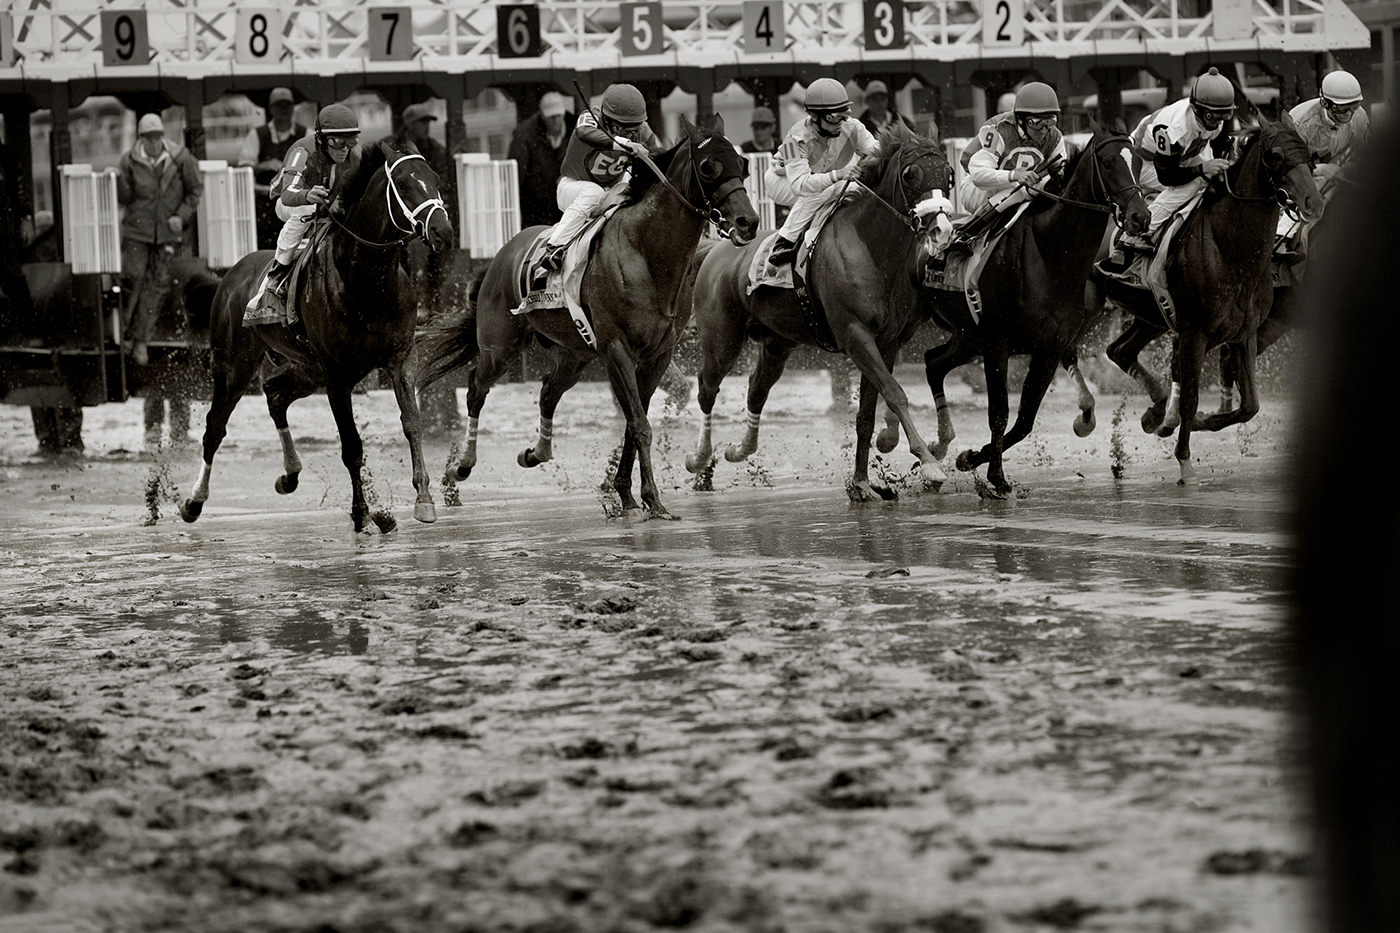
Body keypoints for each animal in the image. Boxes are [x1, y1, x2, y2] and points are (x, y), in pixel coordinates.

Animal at [180, 137, 453, 529]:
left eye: (435, 179)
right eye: (403, 184)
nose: (443, 232)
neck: (366, 282)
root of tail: (228, 278)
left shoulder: (399, 358)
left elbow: (412, 423)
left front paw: (424, 500)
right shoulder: (338, 376)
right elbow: (352, 446)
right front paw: (362, 513)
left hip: (307, 370)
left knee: (275, 394)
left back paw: (290, 474)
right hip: (233, 365)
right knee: (215, 426)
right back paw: (194, 501)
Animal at [417, 115, 756, 515]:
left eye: (742, 163)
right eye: (708, 167)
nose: (748, 222)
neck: (647, 252)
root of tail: (500, 255)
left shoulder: (658, 354)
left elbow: (633, 422)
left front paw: (625, 492)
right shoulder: (617, 350)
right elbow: (640, 425)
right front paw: (653, 499)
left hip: (574, 354)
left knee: (548, 391)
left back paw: (536, 453)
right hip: (499, 346)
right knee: (475, 388)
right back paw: (461, 466)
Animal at [677, 125, 952, 501]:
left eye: (949, 173)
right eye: (912, 174)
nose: (942, 230)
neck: (871, 247)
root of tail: (716, 248)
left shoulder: (886, 341)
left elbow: (868, 412)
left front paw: (863, 480)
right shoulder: (855, 336)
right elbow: (895, 393)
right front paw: (929, 462)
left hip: (777, 343)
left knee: (756, 389)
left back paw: (739, 450)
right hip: (722, 342)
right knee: (707, 388)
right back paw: (699, 460)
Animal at [918, 119, 1148, 498]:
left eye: (1140, 161)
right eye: (1109, 163)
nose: (1140, 216)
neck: (1049, 254)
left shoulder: (1048, 348)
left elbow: (1025, 420)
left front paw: (971, 458)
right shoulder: (998, 344)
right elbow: (999, 412)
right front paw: (996, 477)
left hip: (968, 337)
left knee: (933, 363)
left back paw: (938, 446)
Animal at [1097, 112, 1316, 481]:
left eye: (1309, 153)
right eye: (1275, 156)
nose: (1315, 201)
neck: (1231, 251)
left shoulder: (1244, 334)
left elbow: (1250, 406)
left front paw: (1195, 423)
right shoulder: (1194, 334)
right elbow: (1191, 398)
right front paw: (1185, 462)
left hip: (1153, 315)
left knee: (1120, 351)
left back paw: (1155, 414)